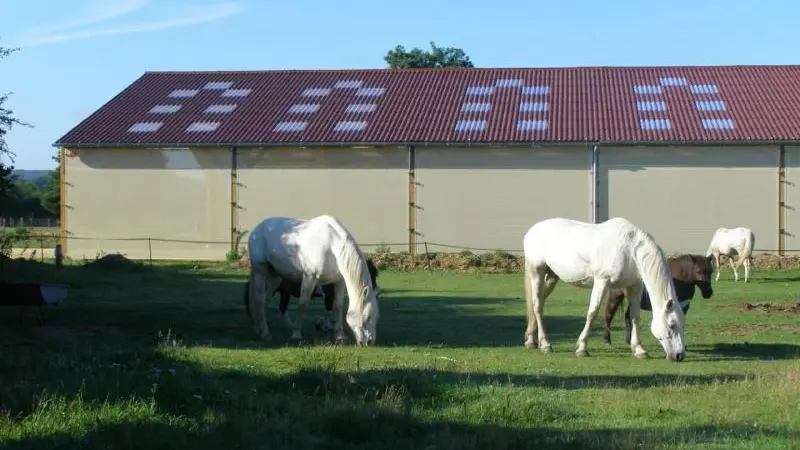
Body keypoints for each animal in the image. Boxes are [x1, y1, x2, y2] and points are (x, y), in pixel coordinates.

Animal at [245, 214, 380, 344]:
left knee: (265, 300)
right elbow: (303, 304)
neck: (331, 245)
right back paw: (264, 333)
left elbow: (337, 305)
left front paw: (339, 336)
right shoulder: (309, 277)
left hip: (275, 276)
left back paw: (261, 328)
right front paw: (296, 334)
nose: (369, 342)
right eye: (367, 317)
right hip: (260, 270)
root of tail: (258, 229)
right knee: (259, 299)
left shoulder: (339, 281)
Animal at [520, 217, 684, 362]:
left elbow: (635, 317)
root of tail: (533, 230)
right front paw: (582, 348)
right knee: (537, 305)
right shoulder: (602, 281)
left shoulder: (634, 287)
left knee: (539, 303)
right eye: (672, 325)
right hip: (537, 271)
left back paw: (531, 340)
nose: (680, 355)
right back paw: (545, 344)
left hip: (552, 276)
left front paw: (639, 350)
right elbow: (592, 313)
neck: (630, 250)